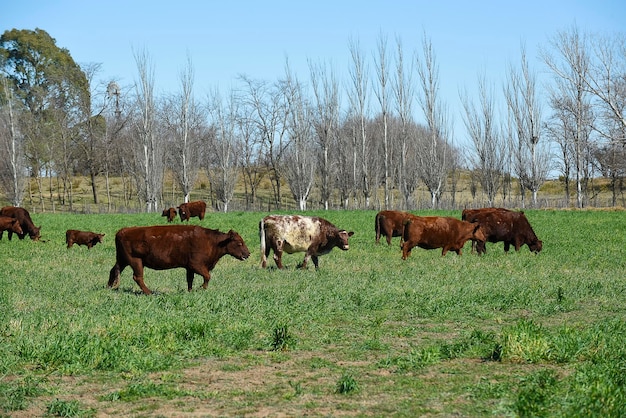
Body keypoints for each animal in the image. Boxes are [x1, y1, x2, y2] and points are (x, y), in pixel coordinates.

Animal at [108, 225, 250, 294]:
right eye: (239, 243)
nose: (248, 254)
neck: (212, 241)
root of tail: (123, 231)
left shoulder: (189, 268)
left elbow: (190, 280)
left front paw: (190, 291)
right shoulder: (196, 265)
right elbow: (207, 276)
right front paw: (201, 288)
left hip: (123, 260)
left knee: (113, 270)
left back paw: (109, 287)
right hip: (136, 262)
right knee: (138, 277)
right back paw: (150, 293)